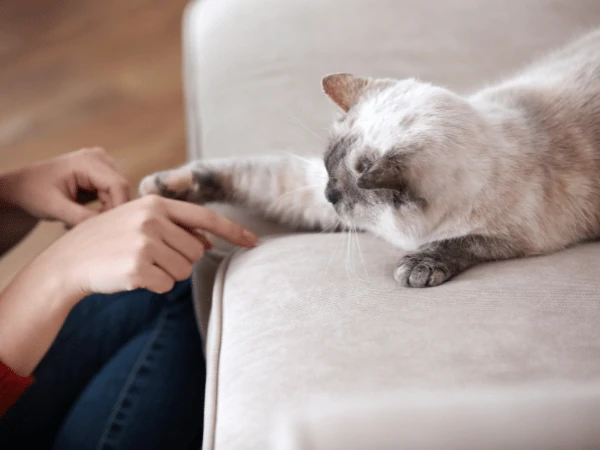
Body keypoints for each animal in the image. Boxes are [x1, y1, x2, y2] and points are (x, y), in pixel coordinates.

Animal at [138, 29, 600, 288]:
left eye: (346, 196)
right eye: (328, 173)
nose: (329, 196)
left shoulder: (519, 237)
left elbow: (460, 242)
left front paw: (417, 268)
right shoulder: (301, 188)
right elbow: (242, 174)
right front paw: (160, 188)